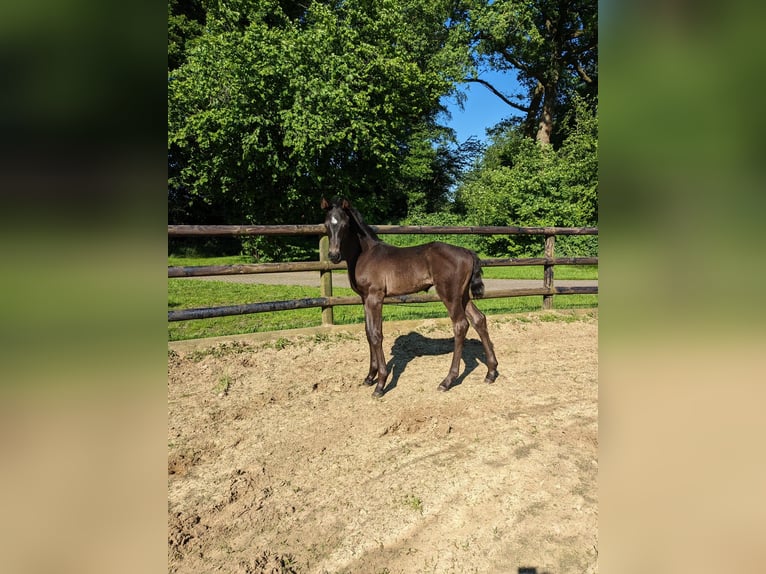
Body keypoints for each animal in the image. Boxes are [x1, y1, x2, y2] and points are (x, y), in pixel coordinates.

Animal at [320, 197, 500, 396]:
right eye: (326, 224)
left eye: (345, 224)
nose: (334, 255)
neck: (365, 254)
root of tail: (468, 252)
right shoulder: (364, 298)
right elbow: (368, 332)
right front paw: (369, 377)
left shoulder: (375, 297)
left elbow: (376, 335)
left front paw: (380, 384)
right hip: (462, 295)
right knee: (479, 319)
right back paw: (491, 372)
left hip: (449, 294)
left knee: (461, 324)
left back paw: (447, 381)